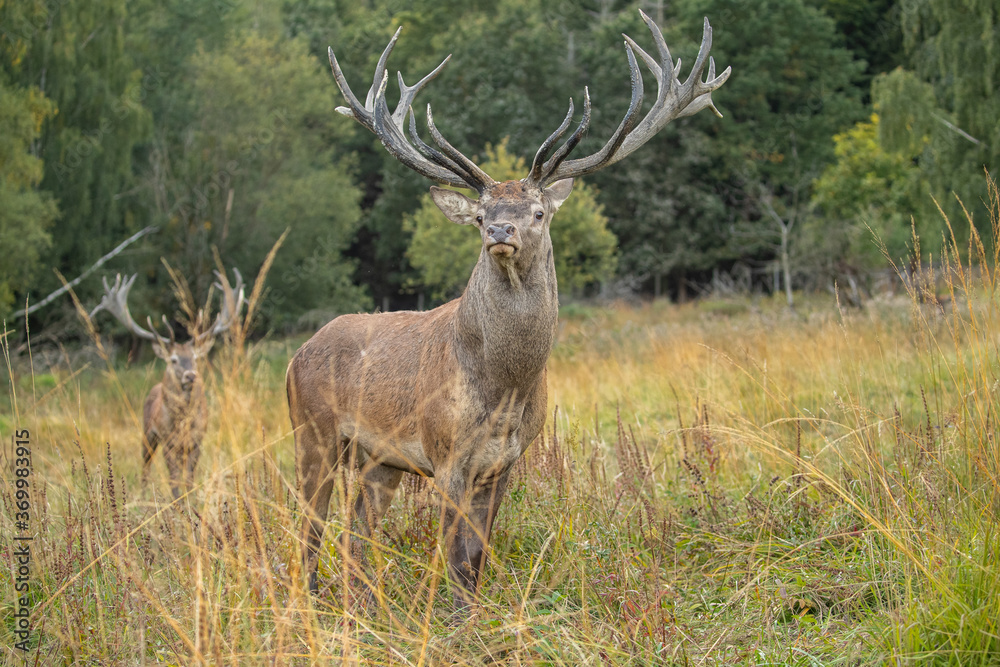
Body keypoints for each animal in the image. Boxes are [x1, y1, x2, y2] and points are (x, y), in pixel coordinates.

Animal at [91, 270, 245, 499]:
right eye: (173, 360)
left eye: (195, 358)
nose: (191, 375)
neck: (182, 423)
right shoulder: (168, 443)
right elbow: (173, 481)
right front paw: (177, 503)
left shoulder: (196, 442)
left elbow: (189, 479)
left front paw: (191, 501)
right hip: (147, 433)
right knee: (145, 467)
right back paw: (143, 494)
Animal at [287, 9, 730, 609]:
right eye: (479, 216)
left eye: (538, 211)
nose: (500, 229)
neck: (505, 386)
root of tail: (297, 354)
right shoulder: (445, 452)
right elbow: (451, 555)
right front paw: (450, 619)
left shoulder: (505, 462)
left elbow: (475, 558)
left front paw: (471, 615)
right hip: (312, 433)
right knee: (308, 534)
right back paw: (310, 606)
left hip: (380, 461)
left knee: (356, 532)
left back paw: (361, 609)